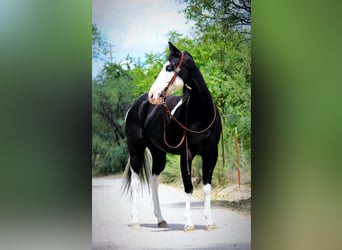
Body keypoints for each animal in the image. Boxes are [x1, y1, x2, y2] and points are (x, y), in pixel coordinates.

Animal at [123, 42, 222, 231]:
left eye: (169, 67)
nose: (152, 95)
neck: (202, 115)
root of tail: (136, 105)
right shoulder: (186, 155)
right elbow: (188, 187)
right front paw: (189, 224)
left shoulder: (211, 154)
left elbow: (206, 187)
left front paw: (210, 222)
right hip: (135, 150)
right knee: (136, 182)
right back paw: (135, 220)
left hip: (158, 153)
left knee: (154, 182)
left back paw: (161, 219)